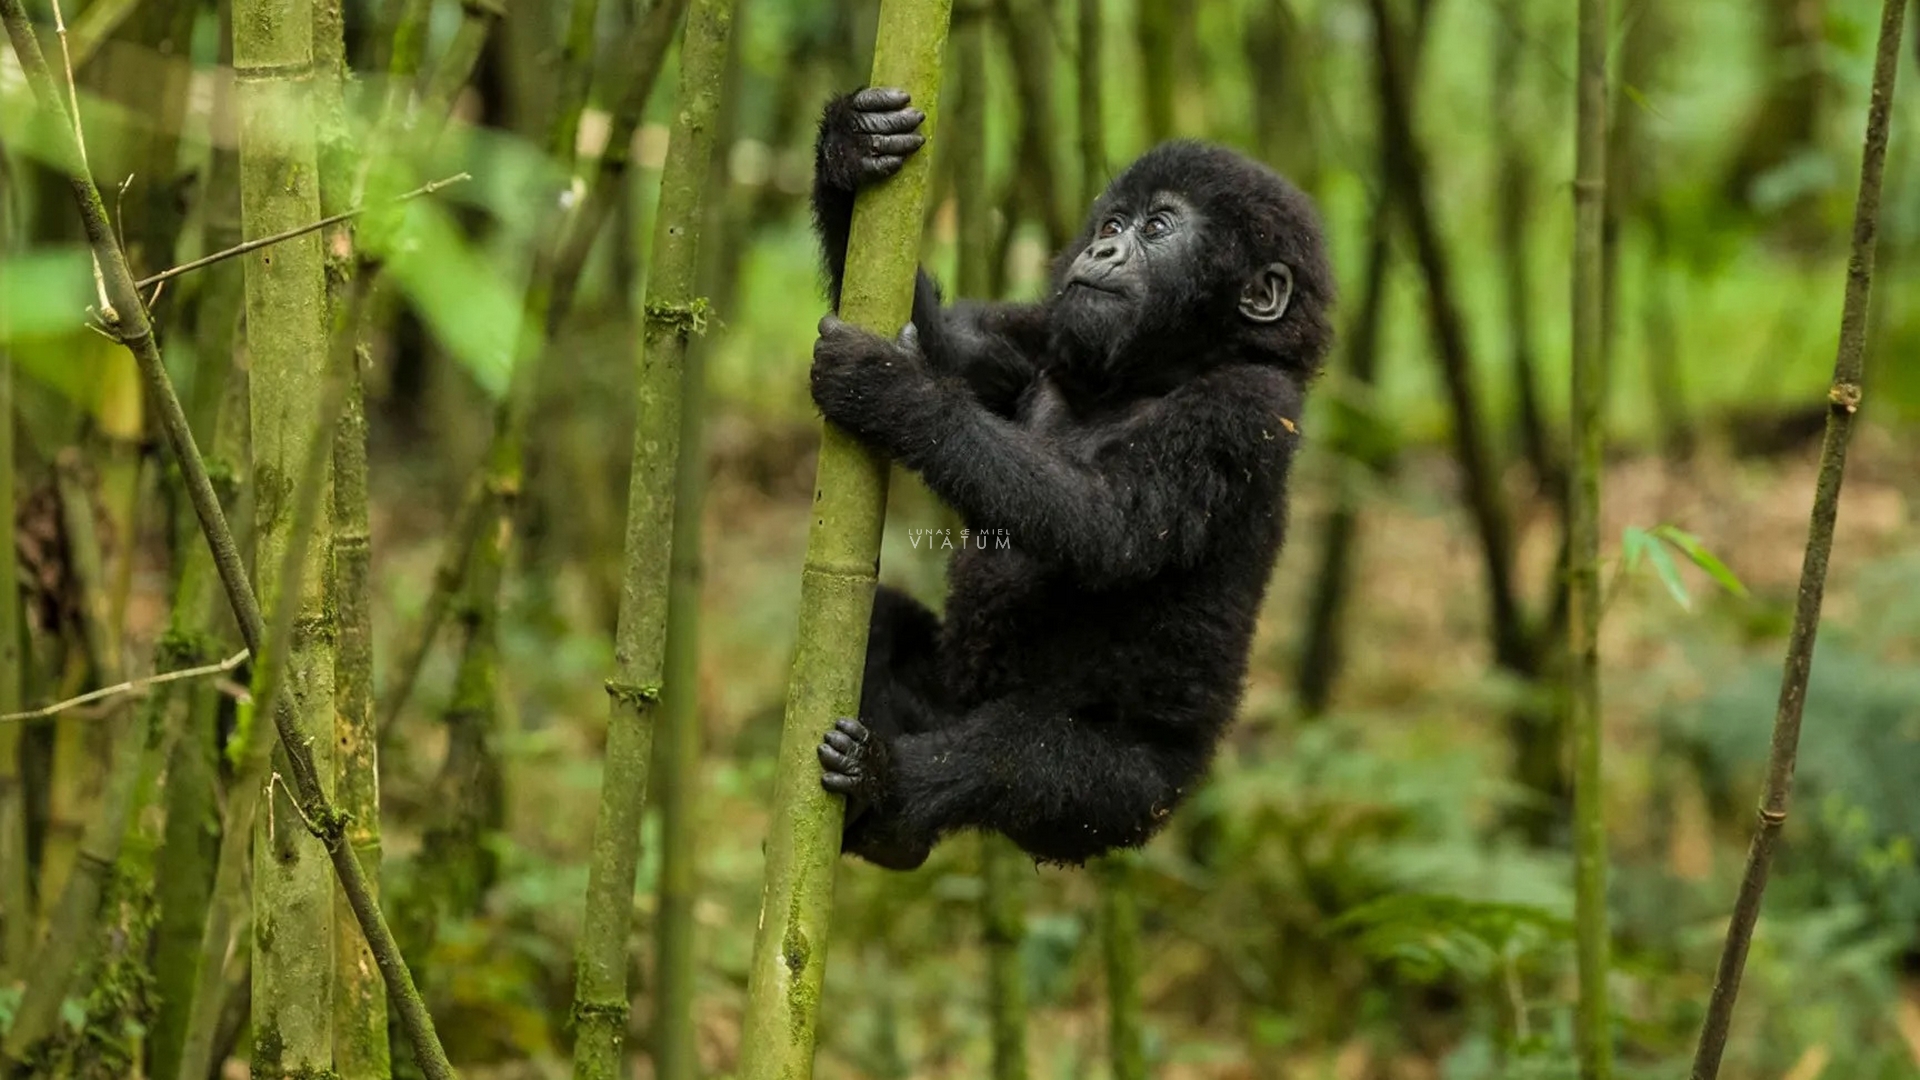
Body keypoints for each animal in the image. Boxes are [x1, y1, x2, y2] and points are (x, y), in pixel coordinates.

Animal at [810, 88, 1336, 868]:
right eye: (1112, 222)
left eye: (1157, 228)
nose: (1102, 249)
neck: (1152, 374)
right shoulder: (1041, 336)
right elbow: (949, 342)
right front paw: (851, 146)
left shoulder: (1246, 408)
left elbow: (1108, 526)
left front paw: (891, 390)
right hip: (946, 696)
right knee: (883, 625)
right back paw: (887, 827)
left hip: (1130, 803)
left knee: (1022, 758)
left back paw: (891, 788)